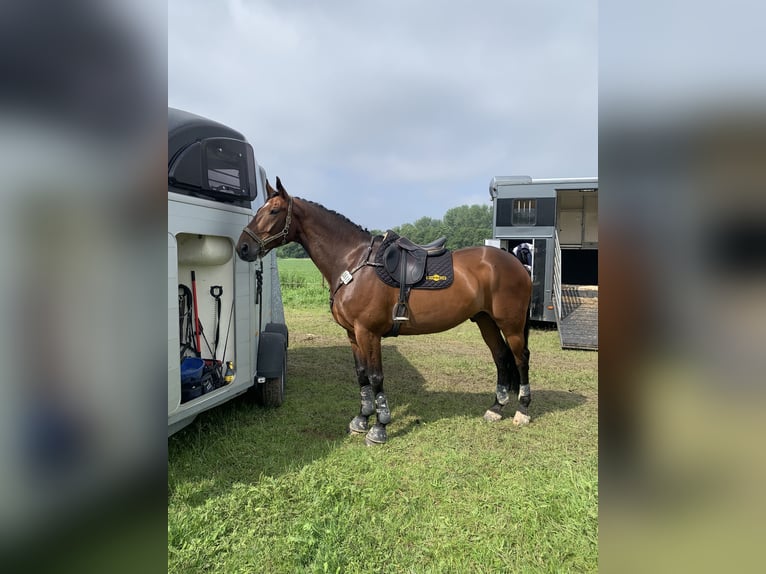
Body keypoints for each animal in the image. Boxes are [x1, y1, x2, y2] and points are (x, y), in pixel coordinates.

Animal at [236, 178, 536, 448]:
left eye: (274, 211)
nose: (242, 247)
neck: (353, 263)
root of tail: (515, 261)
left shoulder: (369, 333)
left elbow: (376, 377)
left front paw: (379, 428)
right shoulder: (353, 335)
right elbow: (361, 375)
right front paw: (361, 420)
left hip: (510, 324)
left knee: (520, 359)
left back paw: (522, 411)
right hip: (485, 320)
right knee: (501, 357)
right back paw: (496, 409)